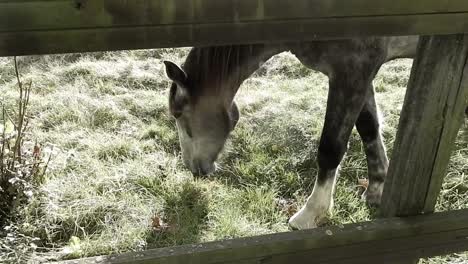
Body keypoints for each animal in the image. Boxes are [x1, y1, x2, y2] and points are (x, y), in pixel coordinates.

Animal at [164, 36, 416, 230]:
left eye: (178, 113)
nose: (193, 167)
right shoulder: (361, 76)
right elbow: (368, 128)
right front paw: (376, 190)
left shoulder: (353, 71)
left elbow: (330, 148)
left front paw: (310, 214)